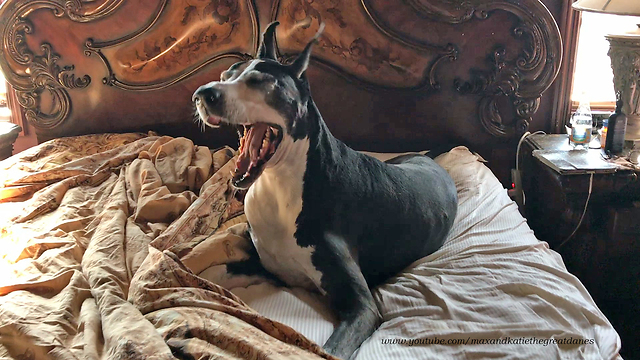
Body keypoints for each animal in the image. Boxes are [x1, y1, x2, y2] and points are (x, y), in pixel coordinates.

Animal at [192, 21, 458, 358]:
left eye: (260, 82)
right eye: (227, 75)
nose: (202, 94)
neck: (278, 185)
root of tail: (431, 161)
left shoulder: (362, 307)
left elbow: (329, 350)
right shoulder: (266, 265)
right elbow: (208, 274)